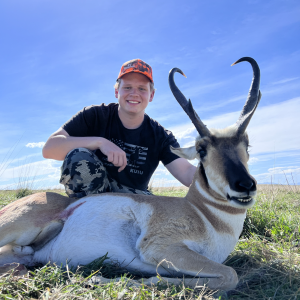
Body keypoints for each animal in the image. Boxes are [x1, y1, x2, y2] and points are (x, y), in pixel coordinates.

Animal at [0, 57, 260, 292]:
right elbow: (231, 274)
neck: (203, 214)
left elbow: (225, 276)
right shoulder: (160, 247)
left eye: (246, 145)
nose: (245, 185)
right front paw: (102, 279)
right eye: (201, 150)